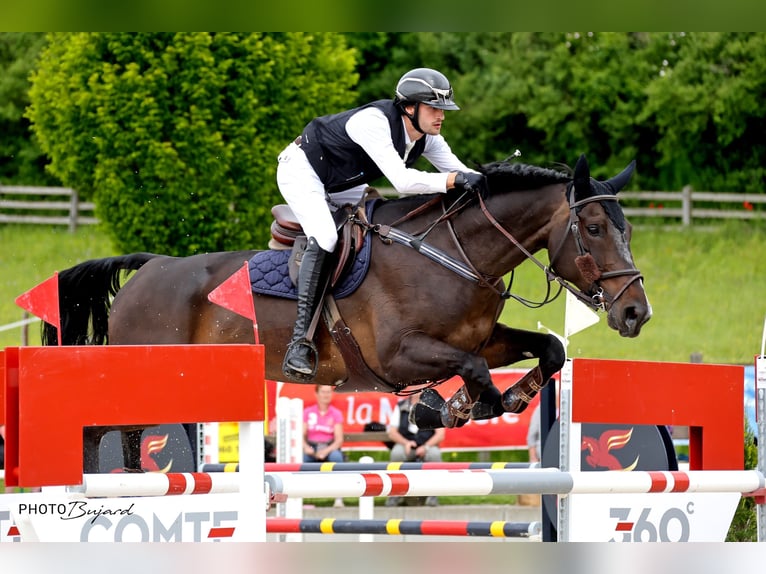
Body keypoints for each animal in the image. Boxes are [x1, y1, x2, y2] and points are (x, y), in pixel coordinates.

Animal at [45, 156, 652, 472]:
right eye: (594, 228)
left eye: (627, 228)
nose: (635, 313)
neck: (456, 254)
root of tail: (149, 269)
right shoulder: (399, 355)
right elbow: (473, 372)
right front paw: (451, 407)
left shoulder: (481, 339)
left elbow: (549, 349)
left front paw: (499, 400)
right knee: (103, 430)